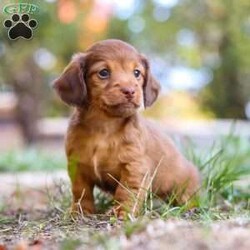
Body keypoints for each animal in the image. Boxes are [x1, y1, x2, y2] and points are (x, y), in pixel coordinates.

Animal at [53, 39, 200, 217]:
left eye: (137, 73)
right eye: (103, 72)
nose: (130, 91)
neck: (104, 128)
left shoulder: (135, 167)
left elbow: (127, 191)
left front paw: (122, 213)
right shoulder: (77, 165)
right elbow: (81, 191)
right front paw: (80, 212)